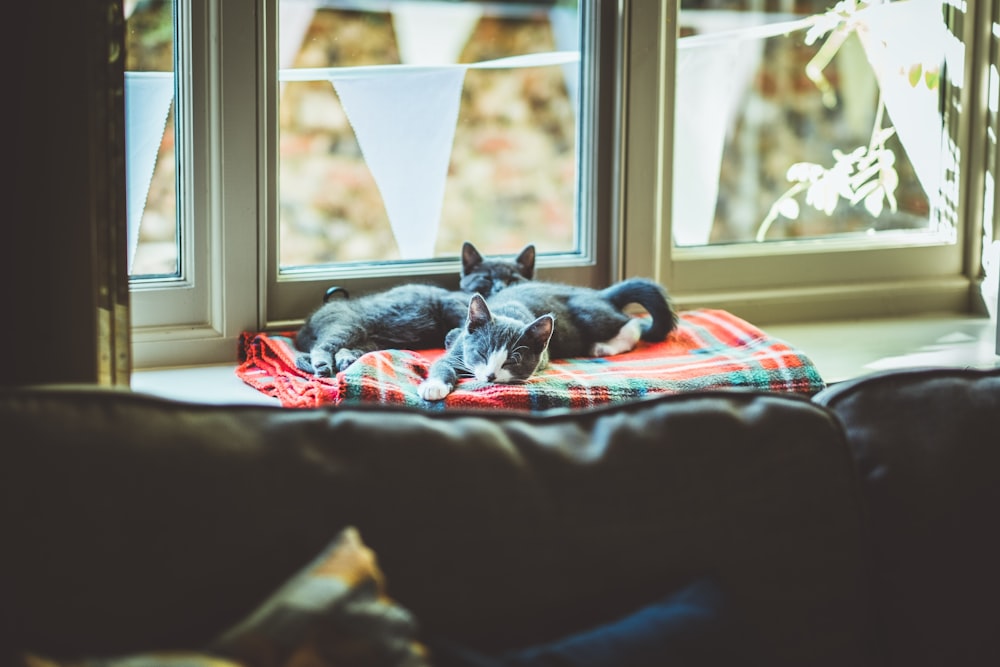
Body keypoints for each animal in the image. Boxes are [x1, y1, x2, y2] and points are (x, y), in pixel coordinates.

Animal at [418, 278, 676, 402]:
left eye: (511, 361)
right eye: (481, 353)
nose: (490, 376)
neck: (509, 311)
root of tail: (598, 293)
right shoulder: (459, 344)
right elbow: (443, 363)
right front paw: (434, 385)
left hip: (588, 313)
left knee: (629, 322)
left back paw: (603, 346)